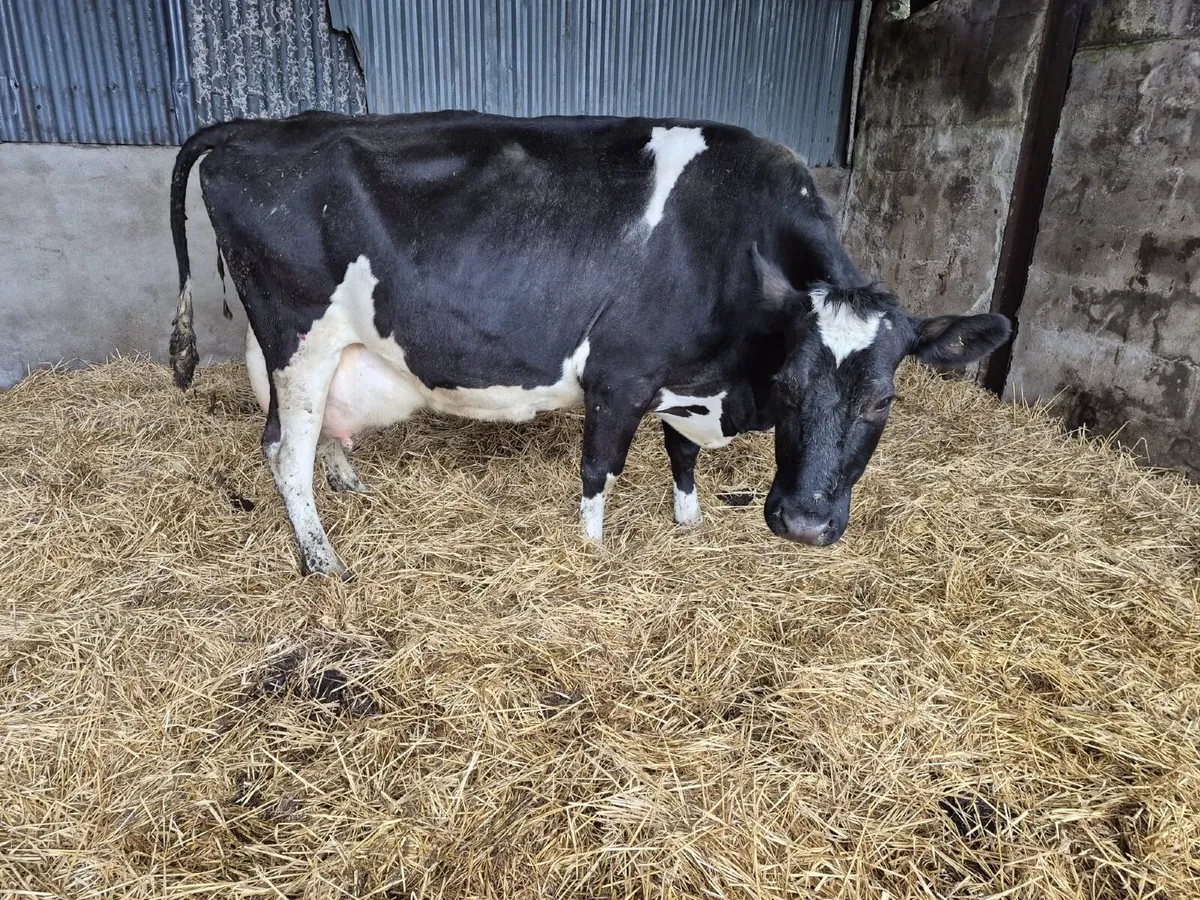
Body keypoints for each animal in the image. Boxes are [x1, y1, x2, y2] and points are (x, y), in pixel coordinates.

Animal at [168, 110, 1011, 577]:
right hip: (298, 337)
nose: (804, 523)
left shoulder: (685, 380)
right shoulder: (620, 376)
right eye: (792, 385)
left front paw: (689, 525)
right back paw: (322, 560)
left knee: (299, 437)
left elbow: (683, 458)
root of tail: (259, 127)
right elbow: (600, 471)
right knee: (285, 453)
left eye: (883, 399)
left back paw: (346, 484)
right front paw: (593, 553)